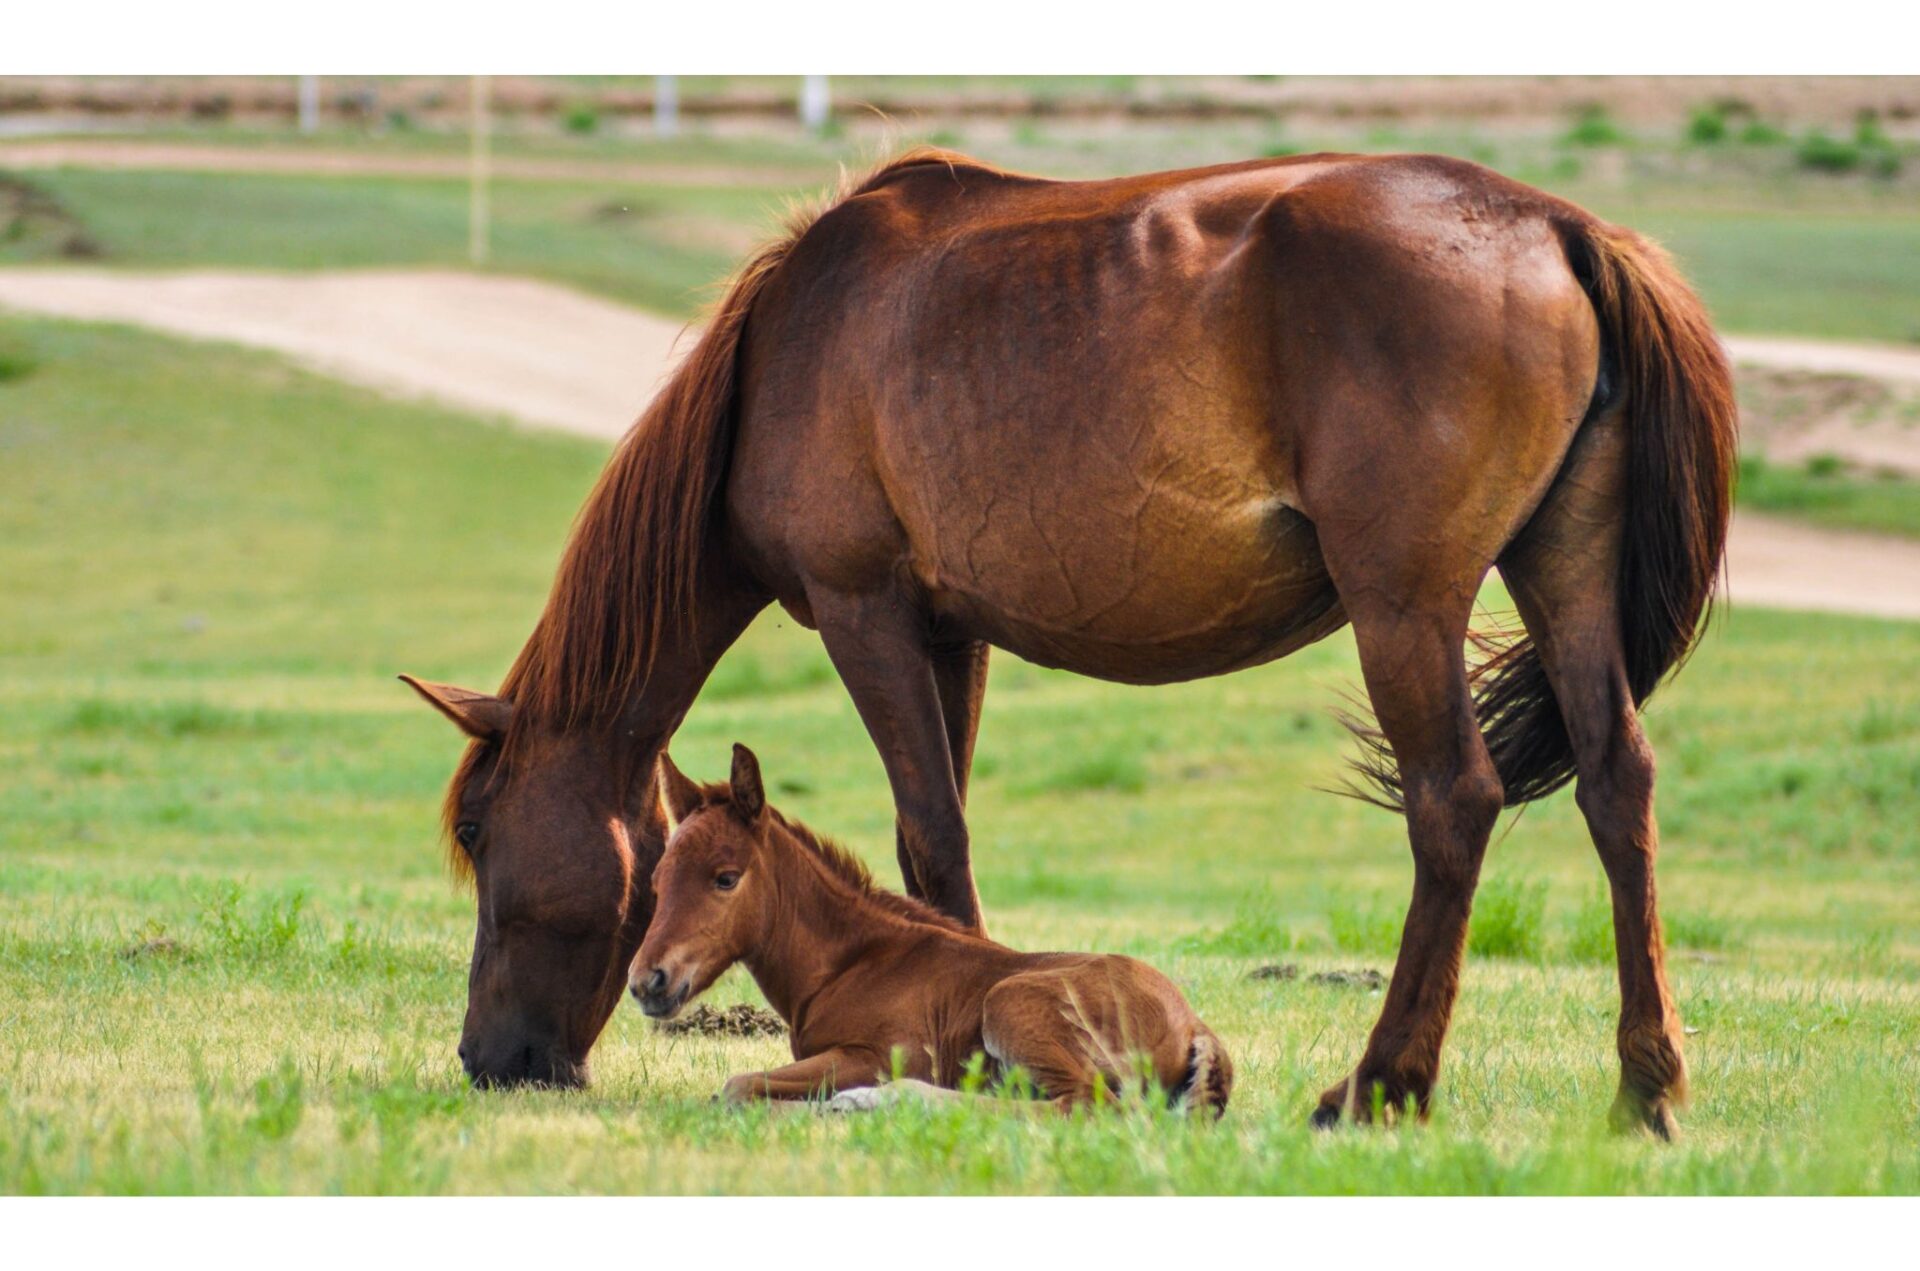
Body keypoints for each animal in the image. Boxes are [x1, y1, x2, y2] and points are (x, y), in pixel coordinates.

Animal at [629, 743, 1233, 1115]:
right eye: (656, 880)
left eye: (726, 878)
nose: (646, 982)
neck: (850, 963)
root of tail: (1195, 1026)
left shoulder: (877, 1055)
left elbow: (737, 1087)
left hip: (1011, 1004)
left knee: (1080, 1106)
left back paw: (880, 1102)